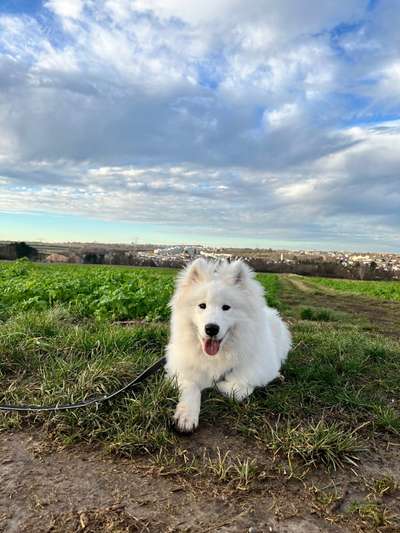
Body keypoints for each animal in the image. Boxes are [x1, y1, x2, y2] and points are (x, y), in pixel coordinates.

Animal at [164, 258, 292, 432]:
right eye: (202, 305)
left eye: (226, 307)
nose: (211, 328)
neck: (217, 356)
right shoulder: (180, 371)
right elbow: (191, 388)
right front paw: (186, 415)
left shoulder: (255, 372)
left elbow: (237, 390)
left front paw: (217, 386)